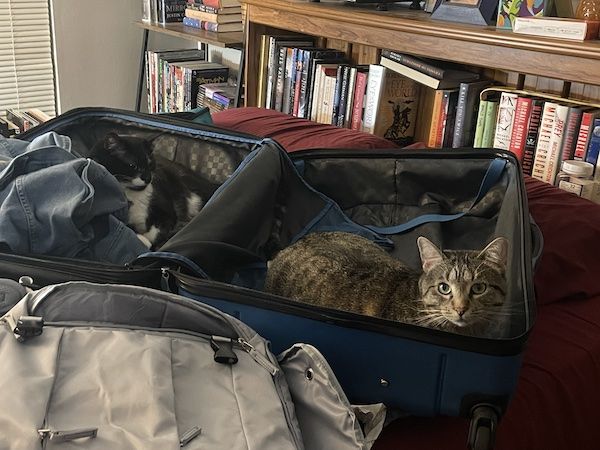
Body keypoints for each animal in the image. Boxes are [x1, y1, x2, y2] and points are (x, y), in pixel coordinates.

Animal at [90, 132, 219, 250]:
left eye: (150, 163)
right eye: (132, 165)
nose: (148, 178)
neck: (135, 194)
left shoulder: (166, 209)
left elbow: (160, 228)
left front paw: (150, 241)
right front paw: (143, 239)